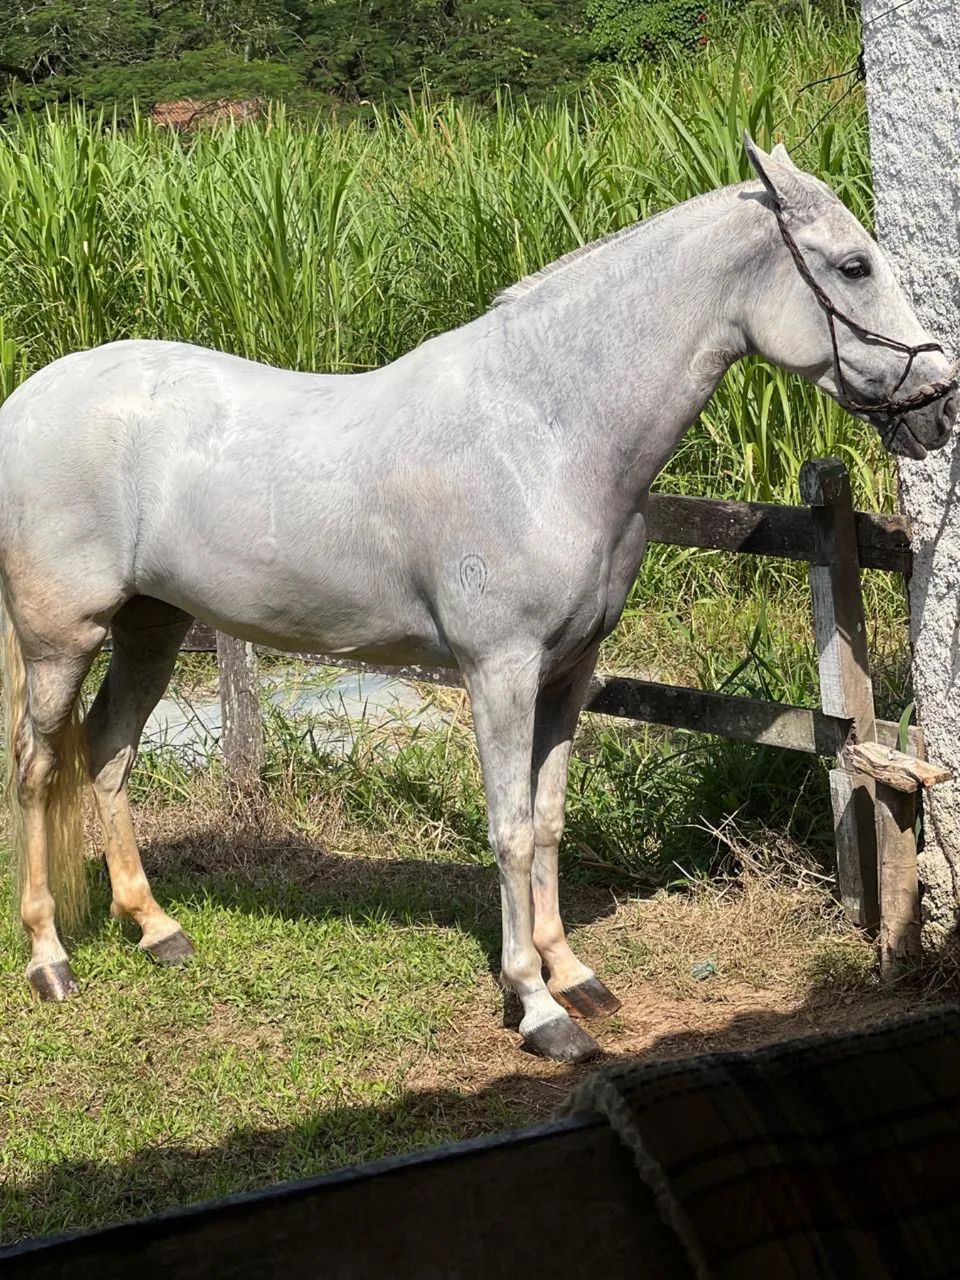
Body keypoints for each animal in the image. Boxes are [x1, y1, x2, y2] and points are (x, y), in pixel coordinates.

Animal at [1, 135, 955, 1063]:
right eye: (854, 266)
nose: (938, 406)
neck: (545, 431)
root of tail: (32, 398)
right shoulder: (499, 672)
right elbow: (508, 828)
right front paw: (536, 1008)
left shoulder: (569, 673)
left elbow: (549, 820)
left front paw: (572, 973)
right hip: (61, 639)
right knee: (40, 766)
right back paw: (50, 960)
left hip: (151, 625)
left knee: (111, 748)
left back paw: (156, 929)